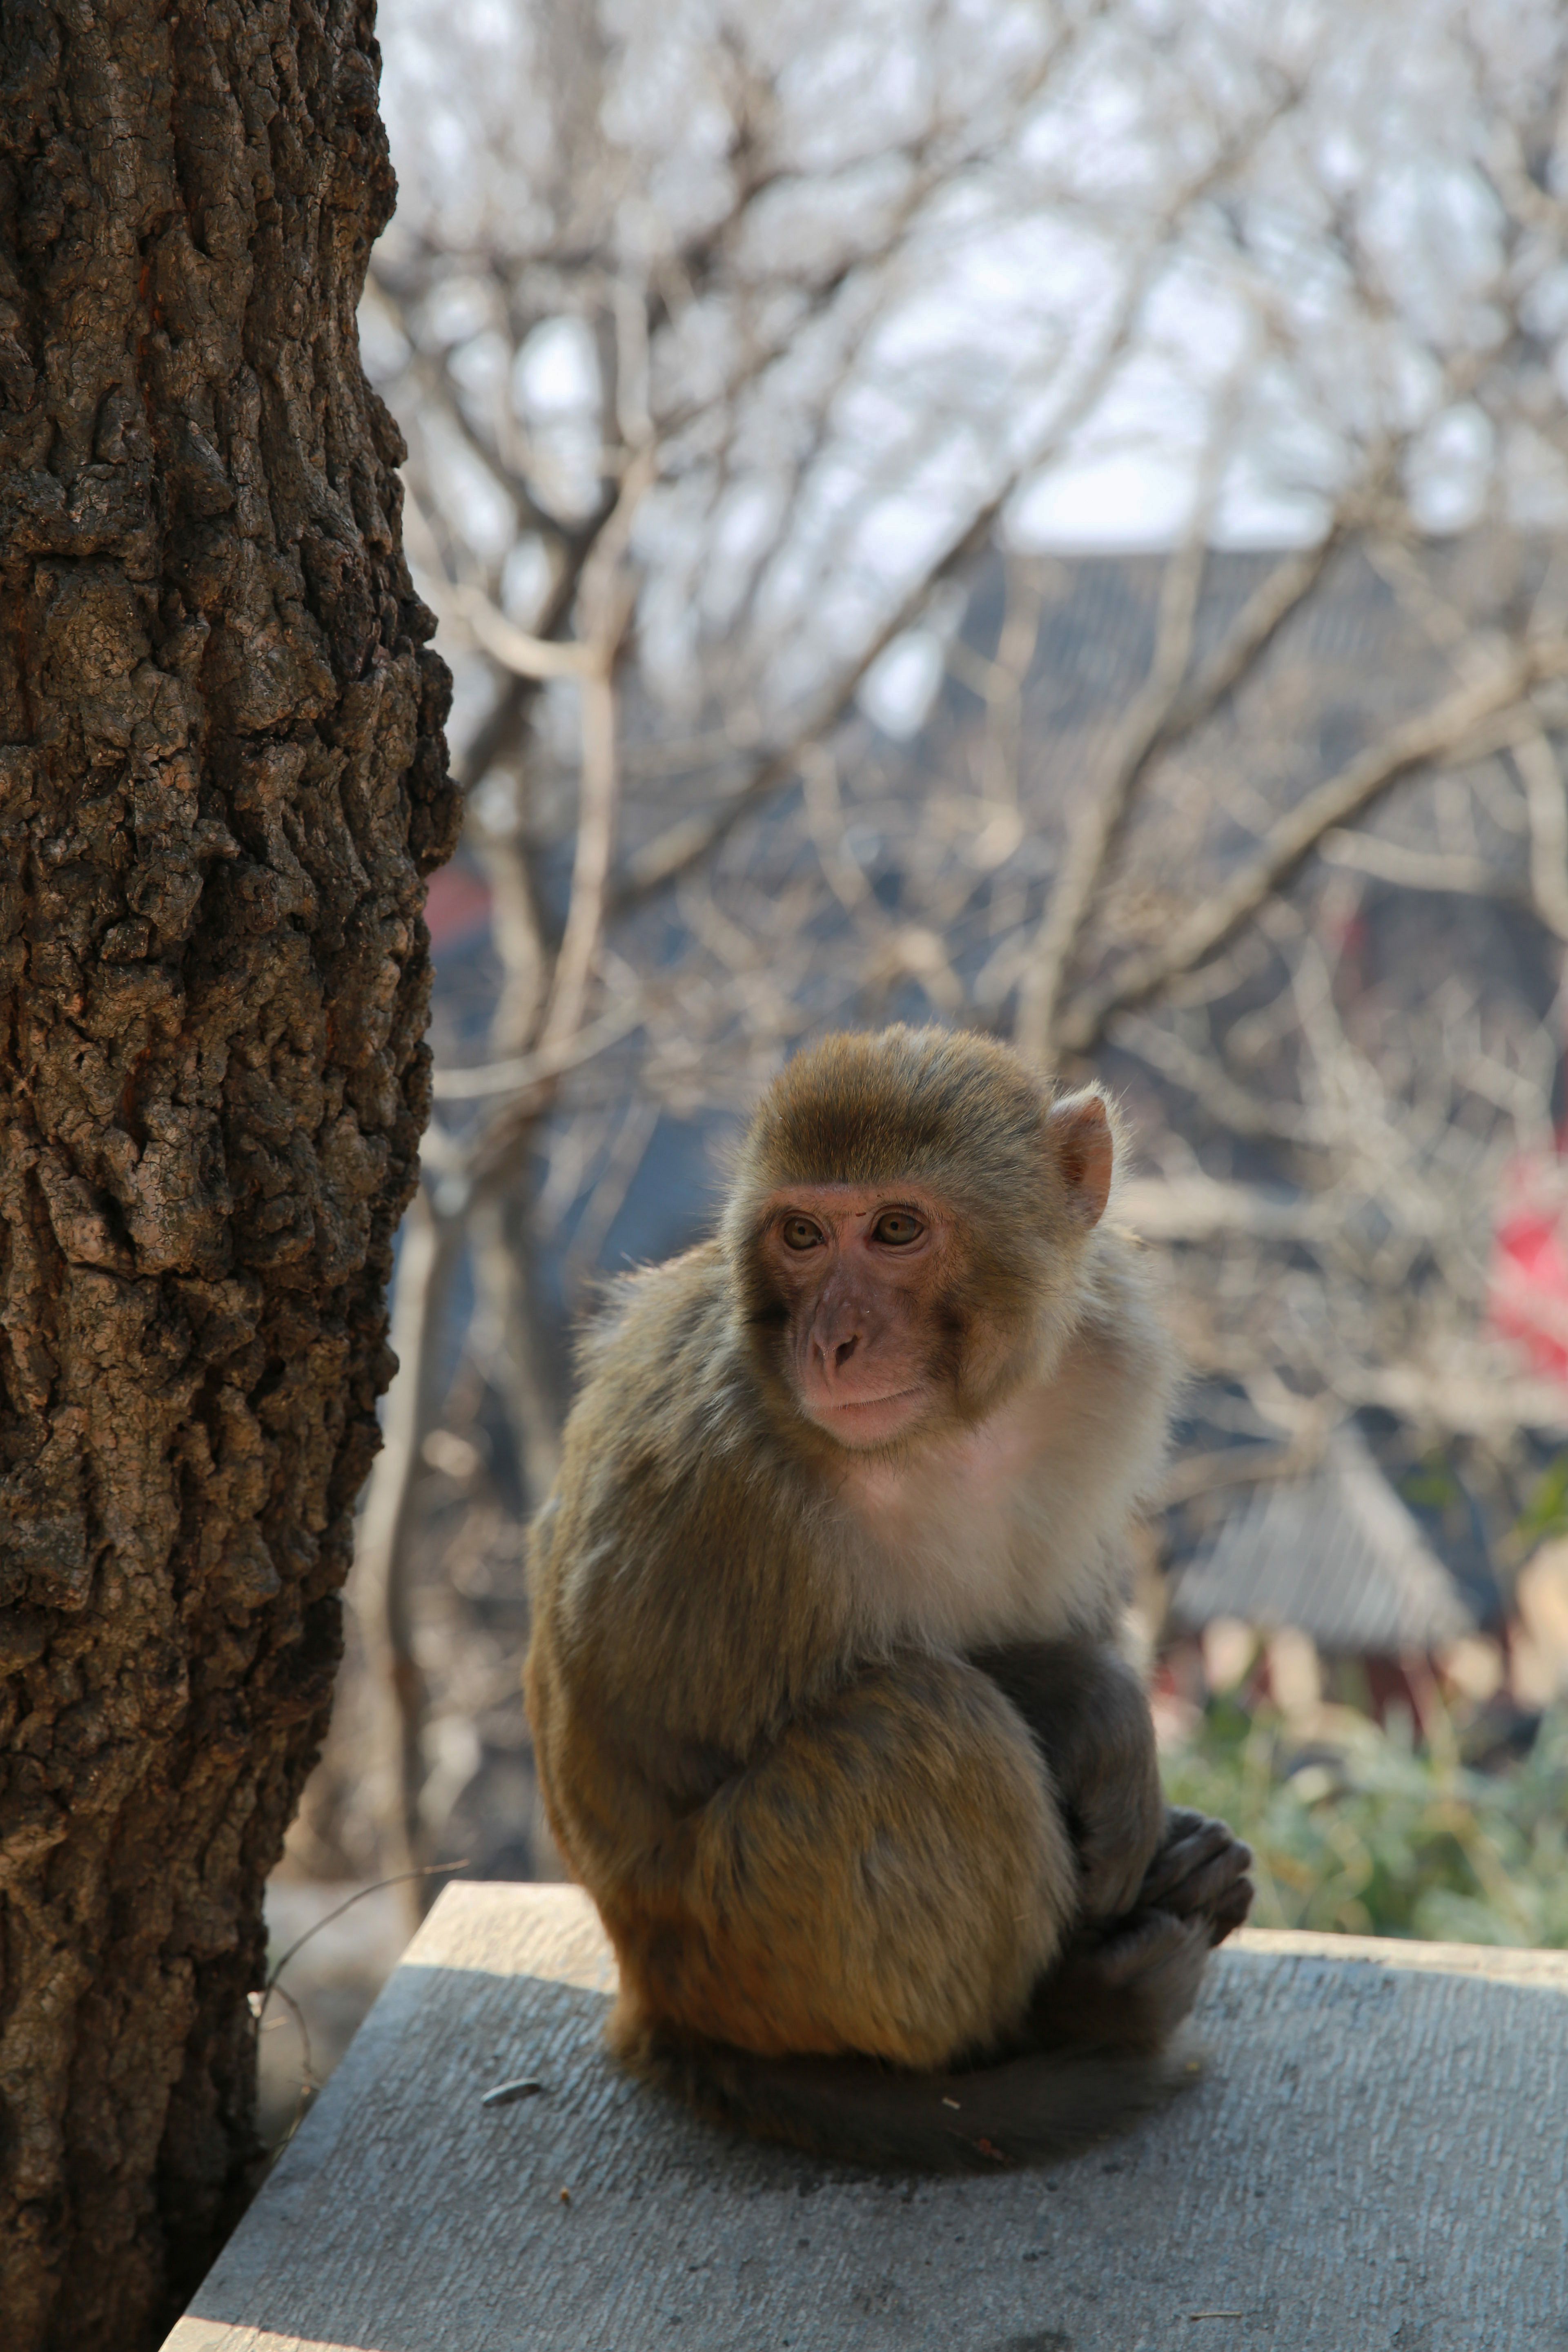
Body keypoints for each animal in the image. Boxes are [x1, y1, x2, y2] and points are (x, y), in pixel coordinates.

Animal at [526, 1030, 1250, 2164]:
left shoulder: (1110, 1354)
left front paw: (1169, 1821)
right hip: (729, 1939)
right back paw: (1084, 2009)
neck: (949, 1430)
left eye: (897, 1228)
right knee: (919, 1722)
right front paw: (1100, 1708)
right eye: (802, 1234)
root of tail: (649, 1992)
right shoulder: (722, 1475)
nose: (831, 1342)